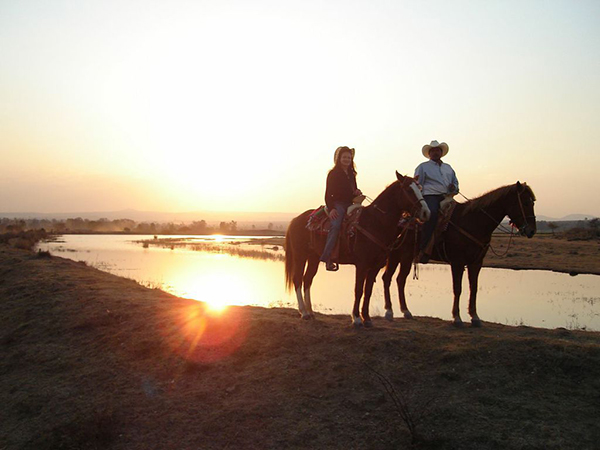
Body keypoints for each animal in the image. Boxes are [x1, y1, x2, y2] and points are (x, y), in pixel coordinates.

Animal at [286, 173, 432, 326]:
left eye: (420, 189)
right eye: (409, 190)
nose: (426, 212)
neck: (375, 222)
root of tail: (296, 220)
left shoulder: (375, 266)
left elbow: (368, 291)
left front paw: (366, 318)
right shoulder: (361, 265)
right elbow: (358, 290)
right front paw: (356, 318)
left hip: (313, 258)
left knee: (307, 280)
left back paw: (310, 312)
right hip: (300, 256)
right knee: (297, 279)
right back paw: (303, 313)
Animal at [382, 182, 536, 326]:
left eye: (533, 202)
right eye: (525, 202)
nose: (532, 230)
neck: (472, 222)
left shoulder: (476, 263)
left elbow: (474, 288)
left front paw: (475, 317)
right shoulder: (457, 262)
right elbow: (457, 288)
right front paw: (457, 318)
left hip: (406, 257)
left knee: (400, 280)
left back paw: (406, 311)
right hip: (396, 255)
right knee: (387, 278)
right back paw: (389, 311)